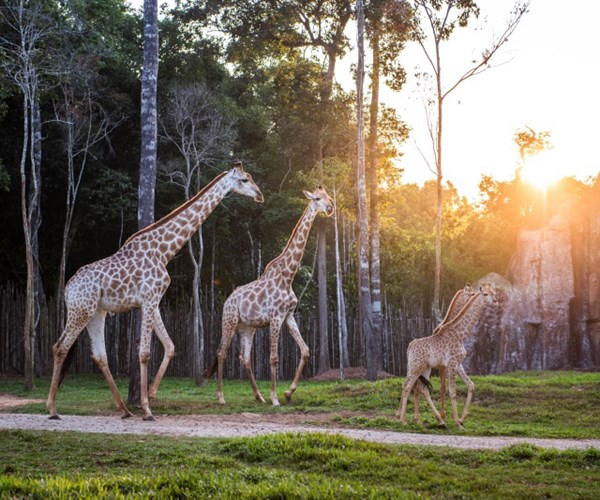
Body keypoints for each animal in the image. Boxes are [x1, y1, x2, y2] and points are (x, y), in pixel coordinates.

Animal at [45, 162, 262, 420]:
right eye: (244, 180)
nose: (259, 194)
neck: (163, 251)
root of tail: (67, 289)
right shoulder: (148, 300)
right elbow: (145, 352)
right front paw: (147, 409)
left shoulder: (153, 301)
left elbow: (170, 346)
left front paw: (150, 396)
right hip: (81, 310)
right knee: (60, 347)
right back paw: (52, 408)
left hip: (96, 313)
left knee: (99, 355)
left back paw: (125, 409)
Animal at [209, 188, 336, 406]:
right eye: (317, 198)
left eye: (328, 196)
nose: (329, 208)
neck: (288, 276)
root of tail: (227, 300)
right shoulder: (276, 317)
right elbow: (274, 358)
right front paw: (276, 398)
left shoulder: (288, 316)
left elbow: (305, 350)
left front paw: (288, 392)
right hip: (229, 320)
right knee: (221, 353)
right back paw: (221, 397)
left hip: (247, 327)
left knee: (244, 357)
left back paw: (258, 396)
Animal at [398, 284, 496, 428]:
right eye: (485, 294)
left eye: (494, 293)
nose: (495, 301)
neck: (460, 335)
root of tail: (409, 347)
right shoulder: (451, 363)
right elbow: (451, 391)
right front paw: (458, 423)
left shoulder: (458, 363)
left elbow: (471, 385)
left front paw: (462, 418)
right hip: (416, 367)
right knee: (407, 387)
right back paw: (403, 420)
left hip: (423, 368)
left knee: (420, 388)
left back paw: (437, 421)